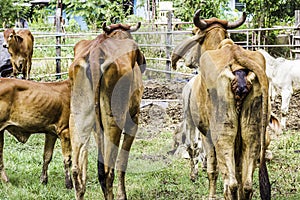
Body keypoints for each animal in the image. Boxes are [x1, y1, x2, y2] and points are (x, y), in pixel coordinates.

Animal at [69, 22, 146, 200]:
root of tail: (96, 51)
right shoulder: (133, 119)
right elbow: (122, 161)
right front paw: (122, 195)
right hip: (114, 120)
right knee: (107, 171)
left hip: (78, 117)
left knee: (76, 168)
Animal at [171, 10, 274, 200]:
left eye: (194, 31)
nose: (188, 62)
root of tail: (237, 59)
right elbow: (240, 173)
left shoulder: (207, 135)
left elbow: (212, 170)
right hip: (252, 133)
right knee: (246, 184)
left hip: (223, 133)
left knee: (230, 184)